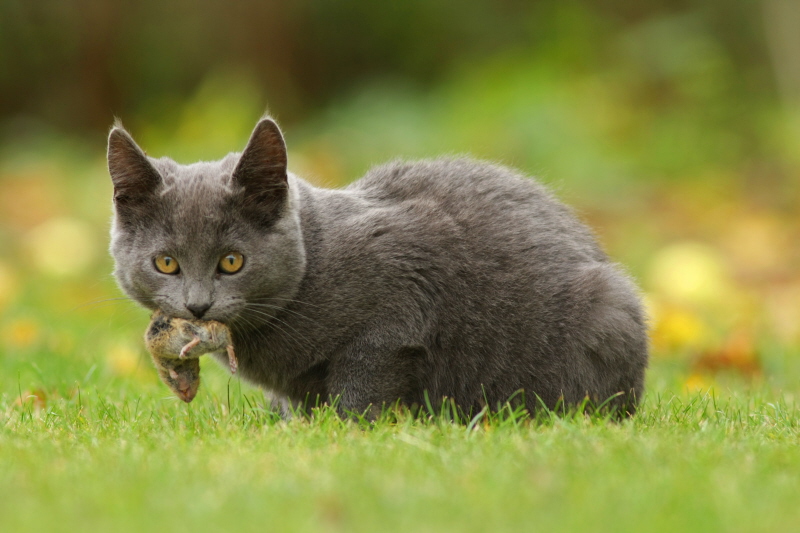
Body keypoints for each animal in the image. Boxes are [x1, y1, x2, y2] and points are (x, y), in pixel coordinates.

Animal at [108, 115, 648, 416]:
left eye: (232, 261)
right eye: (166, 263)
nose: (198, 308)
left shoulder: (398, 307)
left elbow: (362, 380)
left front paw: (348, 431)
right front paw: (292, 423)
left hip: (606, 312)